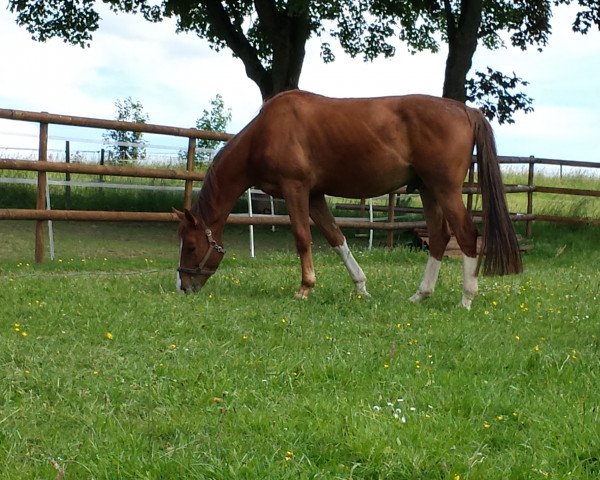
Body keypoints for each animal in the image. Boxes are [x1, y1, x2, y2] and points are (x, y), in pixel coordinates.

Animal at [173, 90, 520, 308]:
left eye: (190, 246)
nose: (183, 287)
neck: (265, 133)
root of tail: (465, 110)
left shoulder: (295, 189)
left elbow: (303, 238)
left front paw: (304, 289)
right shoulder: (314, 195)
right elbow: (336, 238)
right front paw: (362, 288)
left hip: (445, 189)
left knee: (466, 235)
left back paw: (466, 299)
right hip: (427, 189)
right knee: (439, 237)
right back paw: (420, 296)